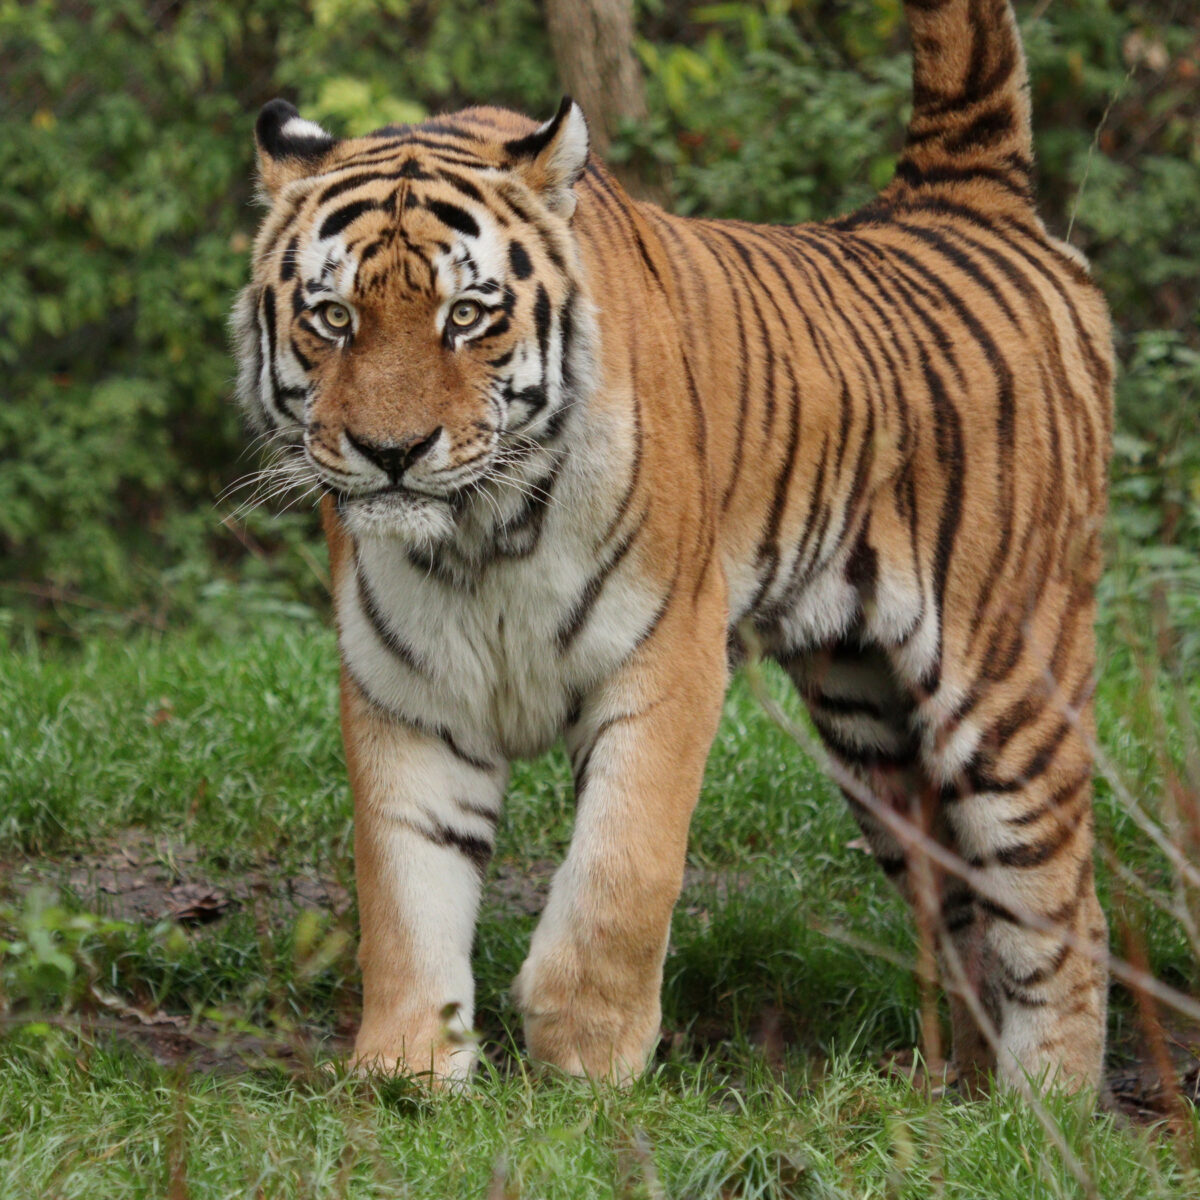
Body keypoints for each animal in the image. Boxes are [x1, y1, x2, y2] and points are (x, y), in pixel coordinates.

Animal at [231, 0, 1113, 1094]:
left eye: (466, 316)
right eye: (334, 316)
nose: (392, 454)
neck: (480, 537)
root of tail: (963, 197)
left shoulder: (666, 657)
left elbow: (623, 869)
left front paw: (585, 1057)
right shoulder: (408, 695)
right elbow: (404, 890)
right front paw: (405, 1075)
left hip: (1007, 683)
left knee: (1060, 906)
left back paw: (1044, 1110)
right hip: (868, 722)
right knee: (958, 903)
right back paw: (959, 1094)